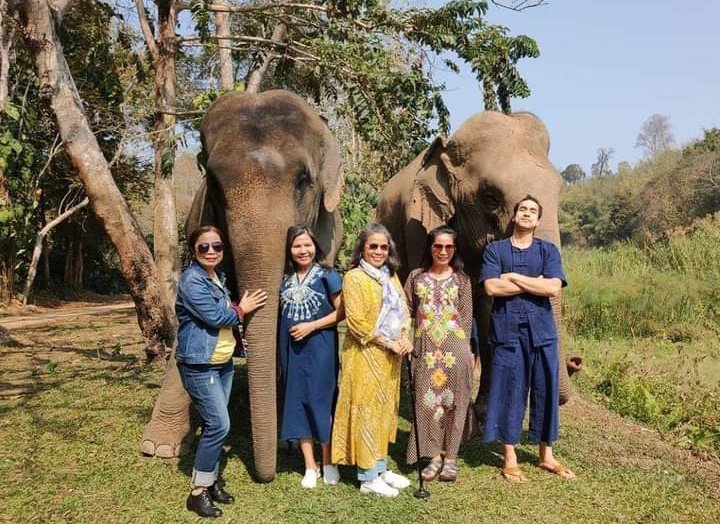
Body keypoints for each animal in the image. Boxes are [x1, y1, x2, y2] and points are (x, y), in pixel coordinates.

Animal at [376, 111, 580, 414]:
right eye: (491, 198)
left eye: (558, 192)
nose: (574, 362)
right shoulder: (418, 224)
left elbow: (487, 309)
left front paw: (483, 410)